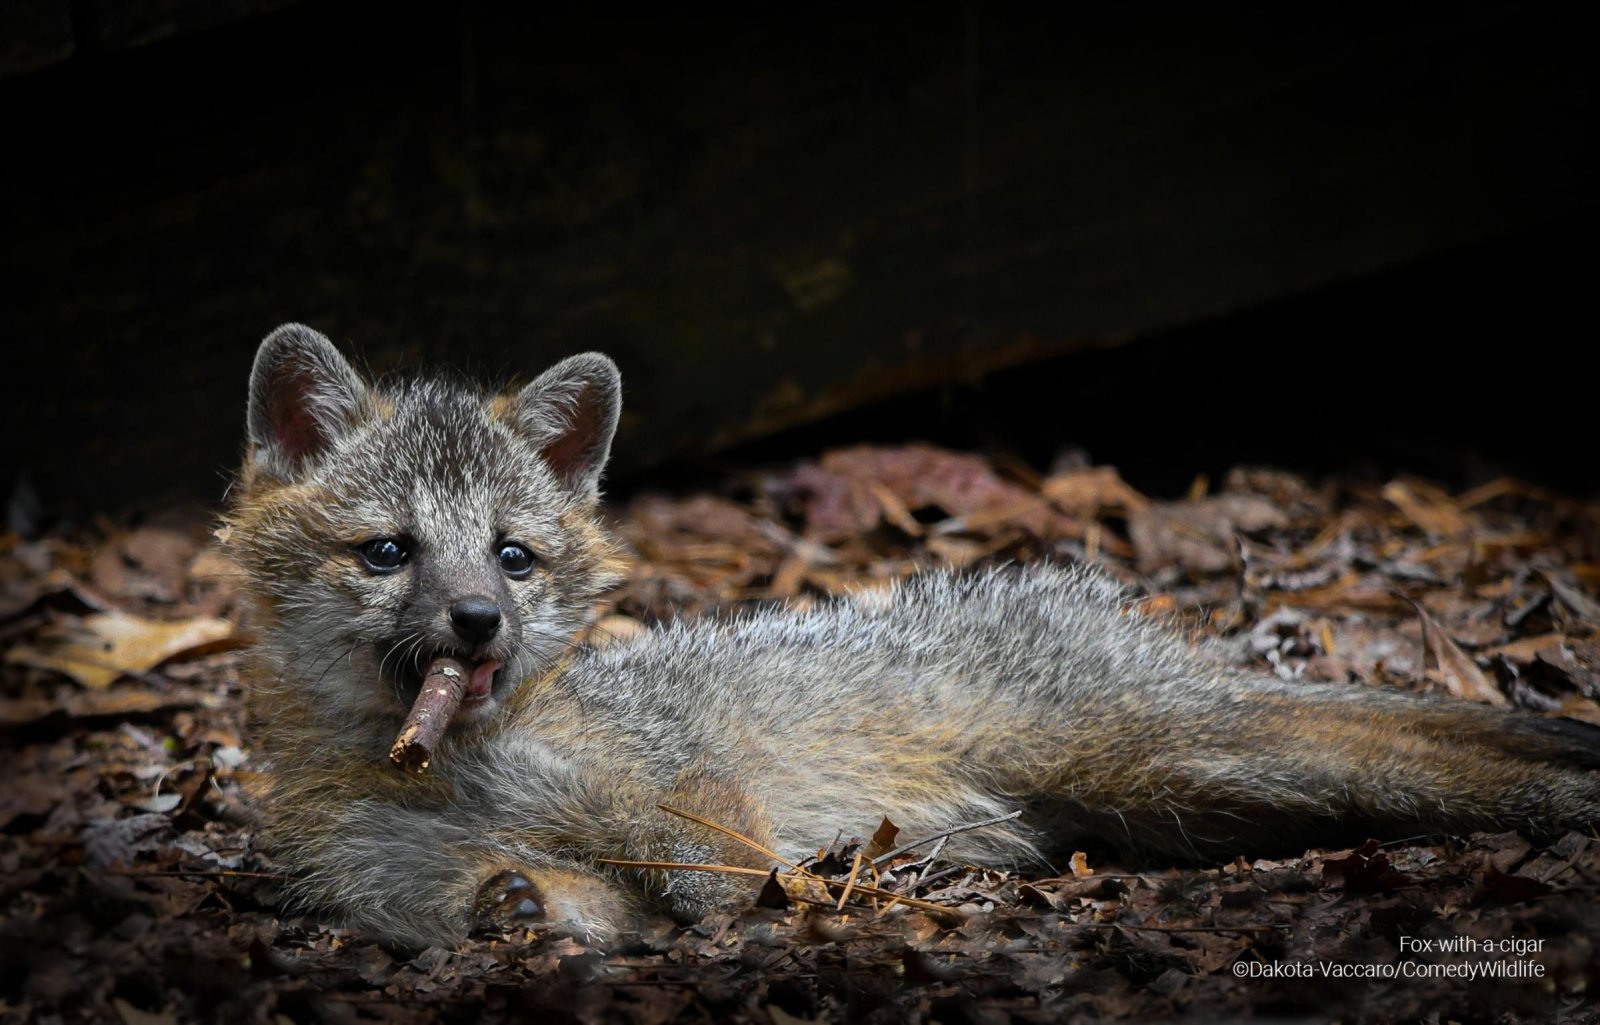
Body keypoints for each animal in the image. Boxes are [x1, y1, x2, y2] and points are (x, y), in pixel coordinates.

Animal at [226, 323, 1600, 950]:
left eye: (511, 555)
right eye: (389, 551)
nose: (477, 618)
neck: (457, 769)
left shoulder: (687, 796)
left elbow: (719, 872)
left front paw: (780, 907)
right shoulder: (432, 886)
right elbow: (535, 899)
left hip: (1182, 757)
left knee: (1426, 752)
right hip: (1176, 798)